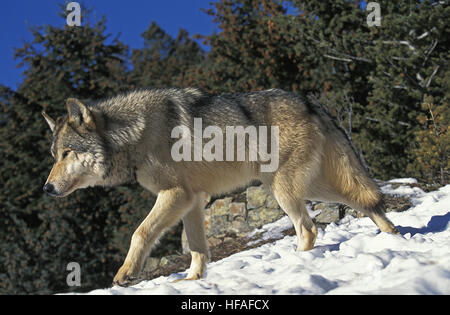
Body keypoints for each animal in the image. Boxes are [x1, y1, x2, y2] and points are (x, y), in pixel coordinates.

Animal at [42, 87, 400, 288]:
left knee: (309, 228)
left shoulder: (176, 195)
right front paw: (192, 282)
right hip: (310, 186)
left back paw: (297, 263)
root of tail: (310, 103)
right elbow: (198, 248)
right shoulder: (193, 200)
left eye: (67, 153)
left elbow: (140, 233)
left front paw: (126, 274)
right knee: (366, 199)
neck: (135, 135)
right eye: (53, 156)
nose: (46, 188)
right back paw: (395, 236)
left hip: (283, 189)